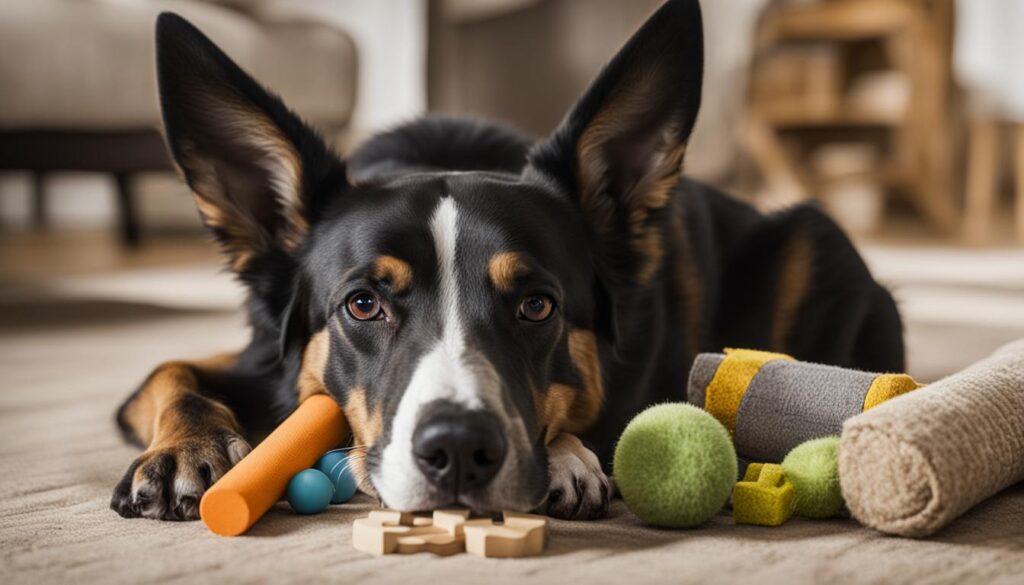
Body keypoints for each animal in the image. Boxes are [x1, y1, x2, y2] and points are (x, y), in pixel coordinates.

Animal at [108, 0, 901, 522]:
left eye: (536, 305)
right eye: (363, 303)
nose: (458, 449)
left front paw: (573, 456)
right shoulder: (253, 355)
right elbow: (167, 370)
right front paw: (185, 451)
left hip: (813, 238)